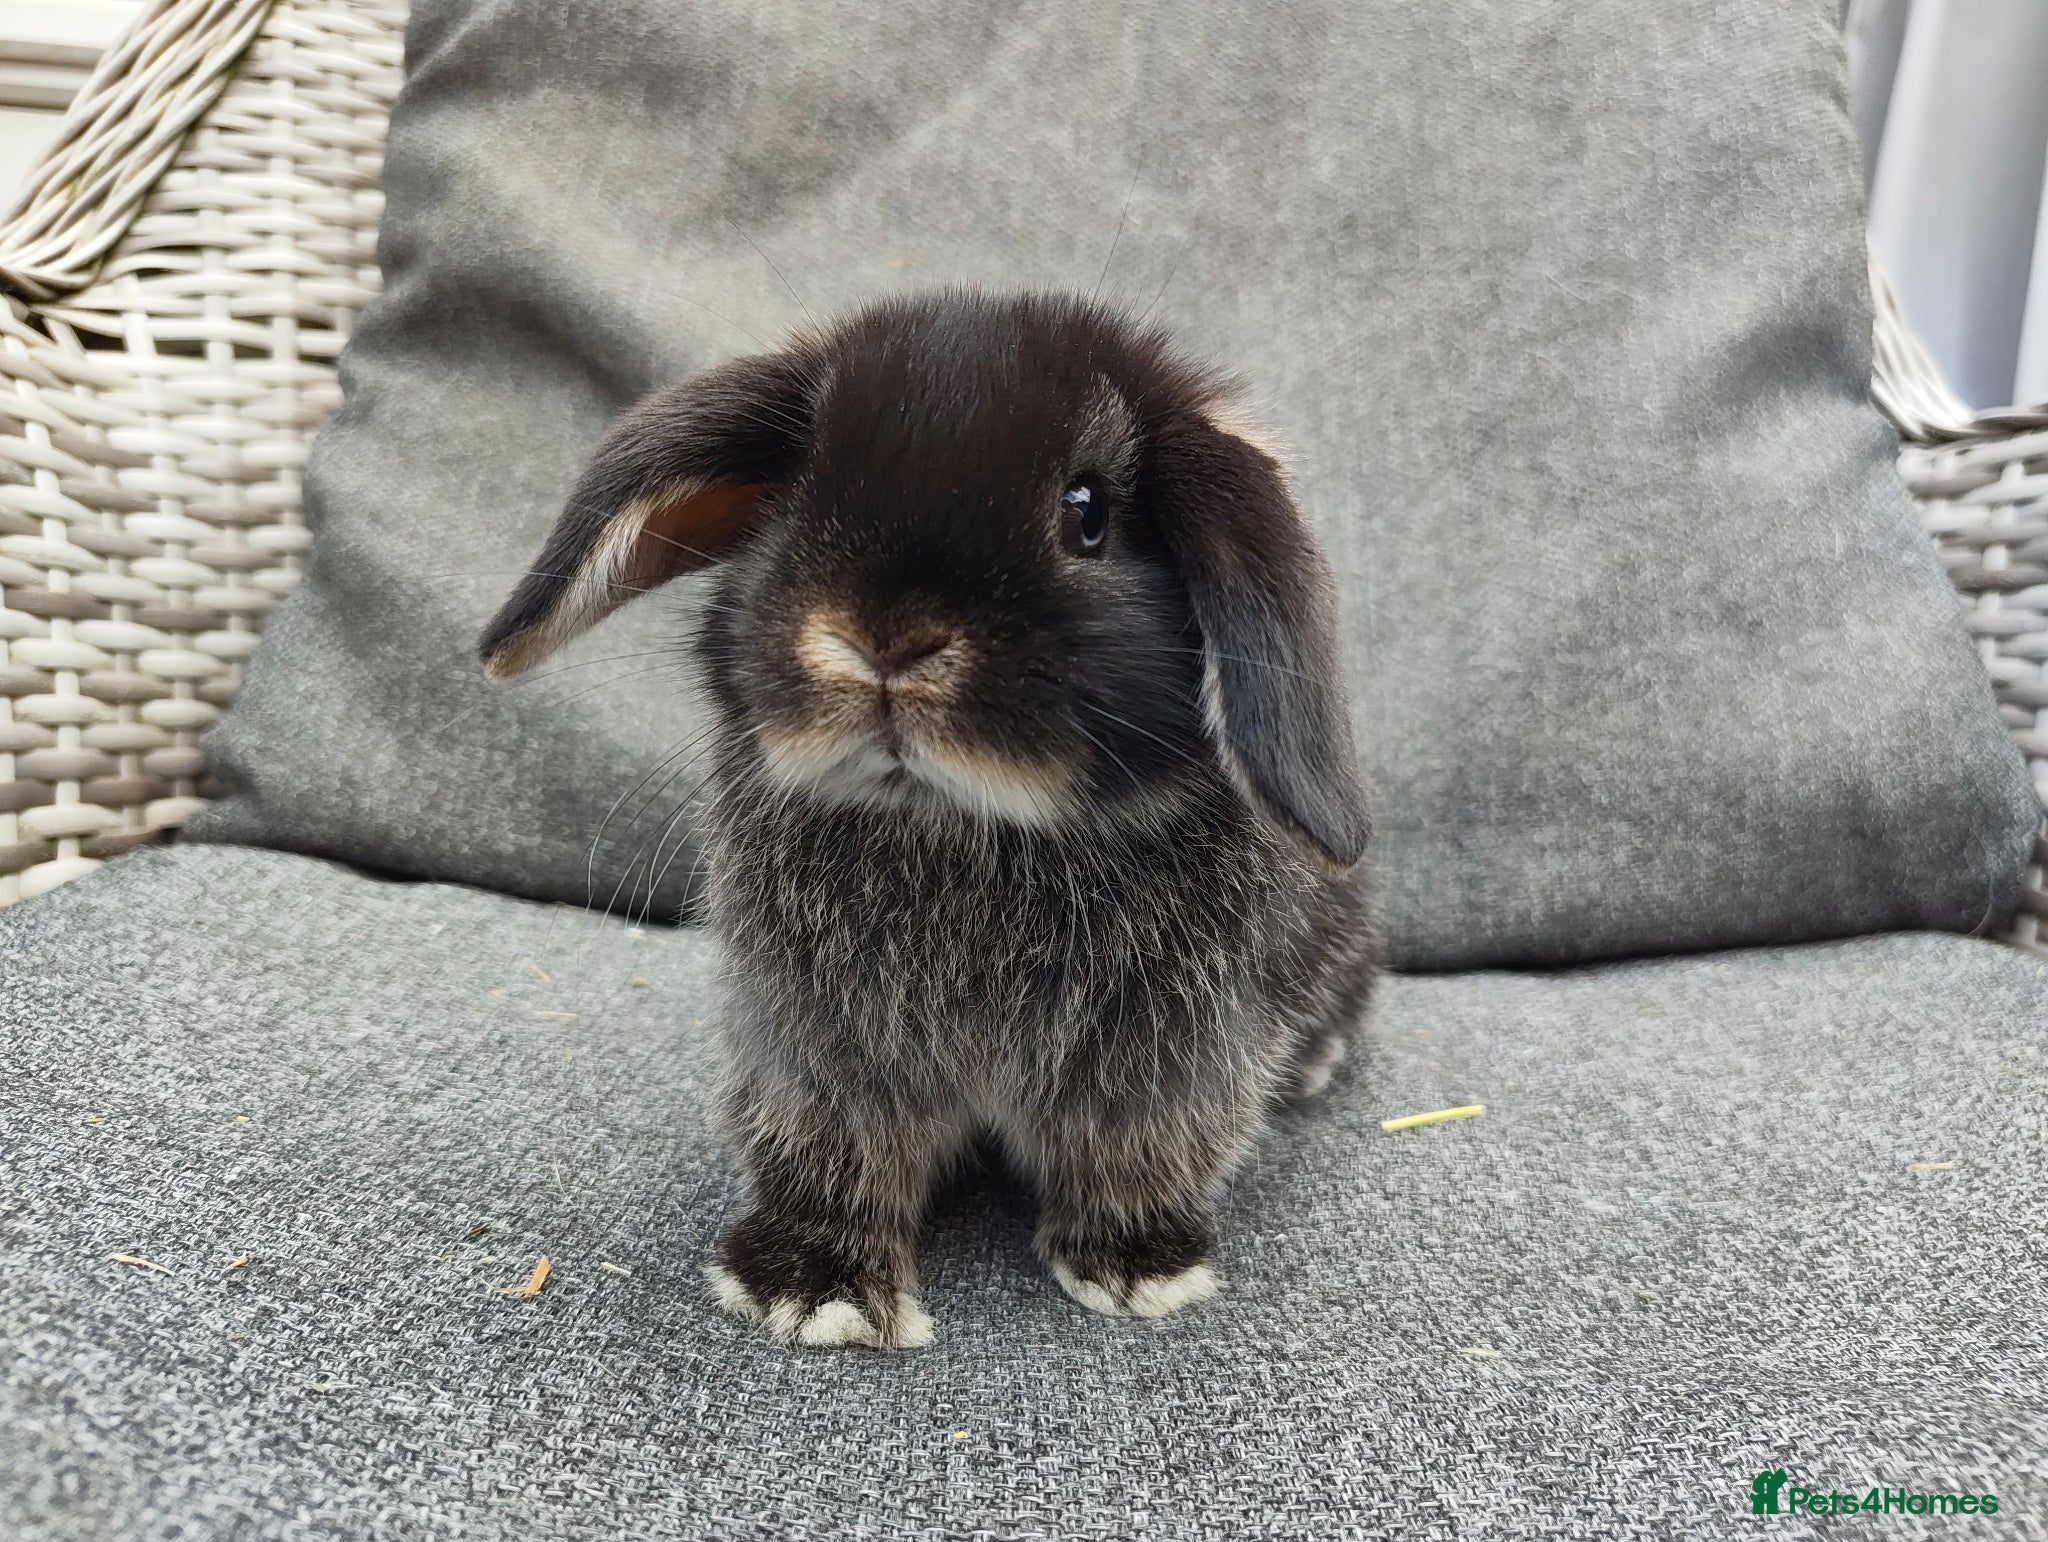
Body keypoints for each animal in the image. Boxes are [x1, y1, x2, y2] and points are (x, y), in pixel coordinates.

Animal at [479, 290, 1378, 1350]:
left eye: (1086, 513)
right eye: (797, 494)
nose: (883, 642)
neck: (959, 827)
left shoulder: (1169, 1057)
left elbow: (1136, 1150)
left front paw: (1136, 1266)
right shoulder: (815, 1049)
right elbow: (829, 1150)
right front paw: (808, 1287)